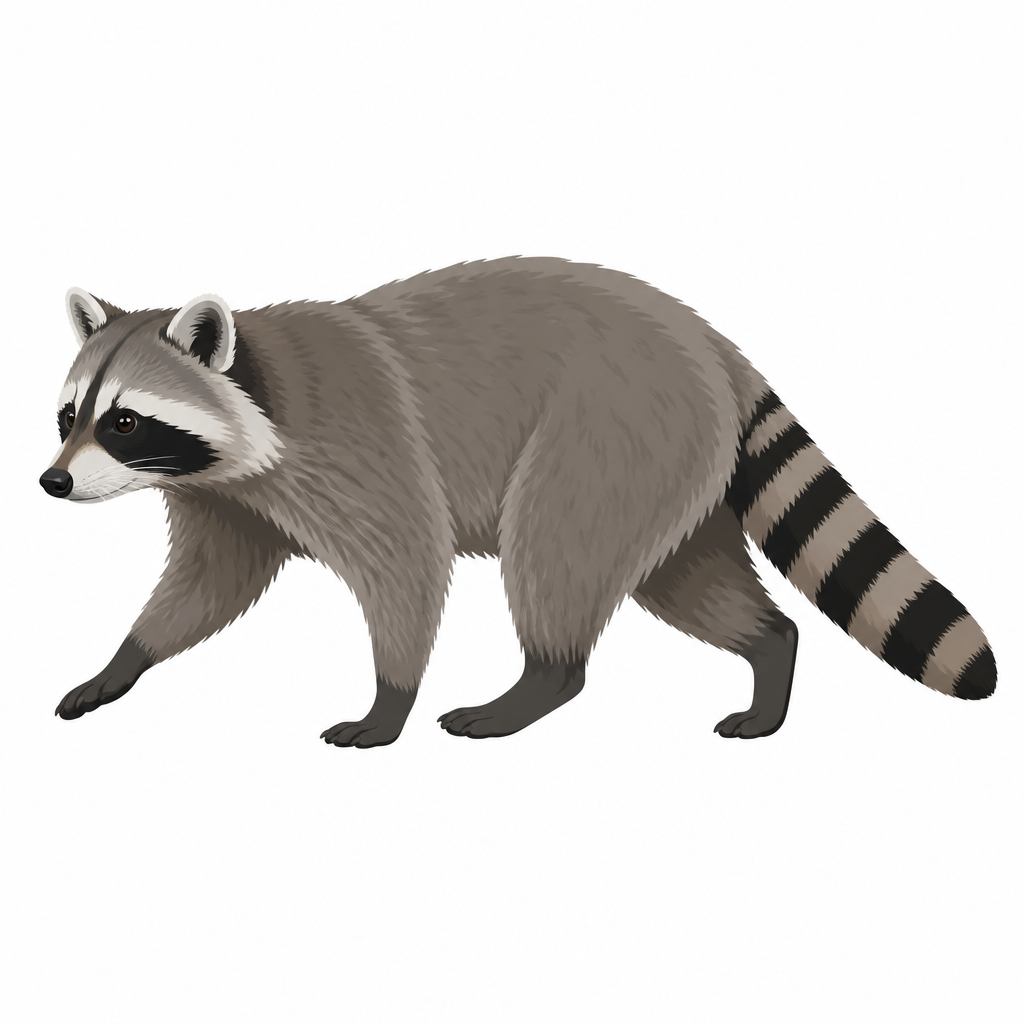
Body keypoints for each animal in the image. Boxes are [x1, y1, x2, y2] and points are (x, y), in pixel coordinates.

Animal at [41, 258, 996, 745]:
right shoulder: (227, 498)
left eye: (124, 420)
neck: (261, 386)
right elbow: (207, 587)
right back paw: (771, 652)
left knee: (554, 547)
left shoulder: (357, 445)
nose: (52, 482)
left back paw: (540, 681)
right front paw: (122, 660)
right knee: (685, 575)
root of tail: (708, 338)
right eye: (68, 415)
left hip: (612, 429)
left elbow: (409, 560)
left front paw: (389, 701)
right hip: (673, 464)